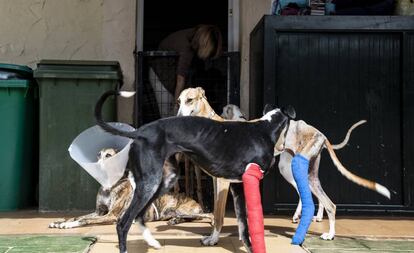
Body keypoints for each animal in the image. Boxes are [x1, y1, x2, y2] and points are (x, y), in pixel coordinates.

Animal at [50, 148, 213, 231]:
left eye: (109, 155)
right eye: (98, 155)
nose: (97, 166)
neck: (109, 185)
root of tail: (194, 200)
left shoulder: (111, 216)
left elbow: (84, 220)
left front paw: (67, 224)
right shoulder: (99, 212)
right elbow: (79, 217)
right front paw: (60, 221)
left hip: (183, 209)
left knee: (206, 215)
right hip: (169, 211)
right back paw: (176, 220)